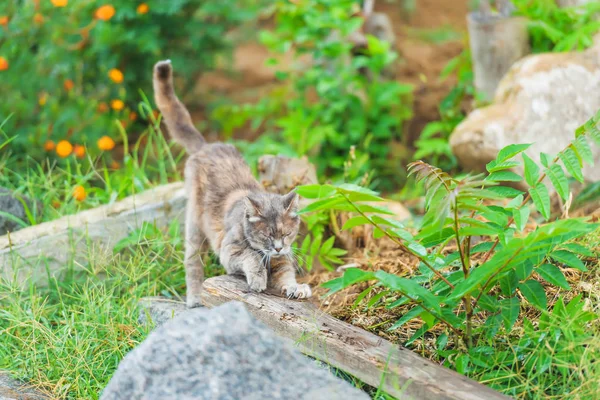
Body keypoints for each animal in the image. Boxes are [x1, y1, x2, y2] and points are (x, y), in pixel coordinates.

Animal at [152, 60, 312, 310]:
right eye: (267, 235)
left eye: (287, 233)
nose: (278, 247)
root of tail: (206, 146)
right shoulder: (229, 251)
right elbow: (251, 256)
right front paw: (258, 279)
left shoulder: (283, 261)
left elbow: (287, 276)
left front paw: (297, 288)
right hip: (195, 225)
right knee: (193, 263)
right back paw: (195, 300)